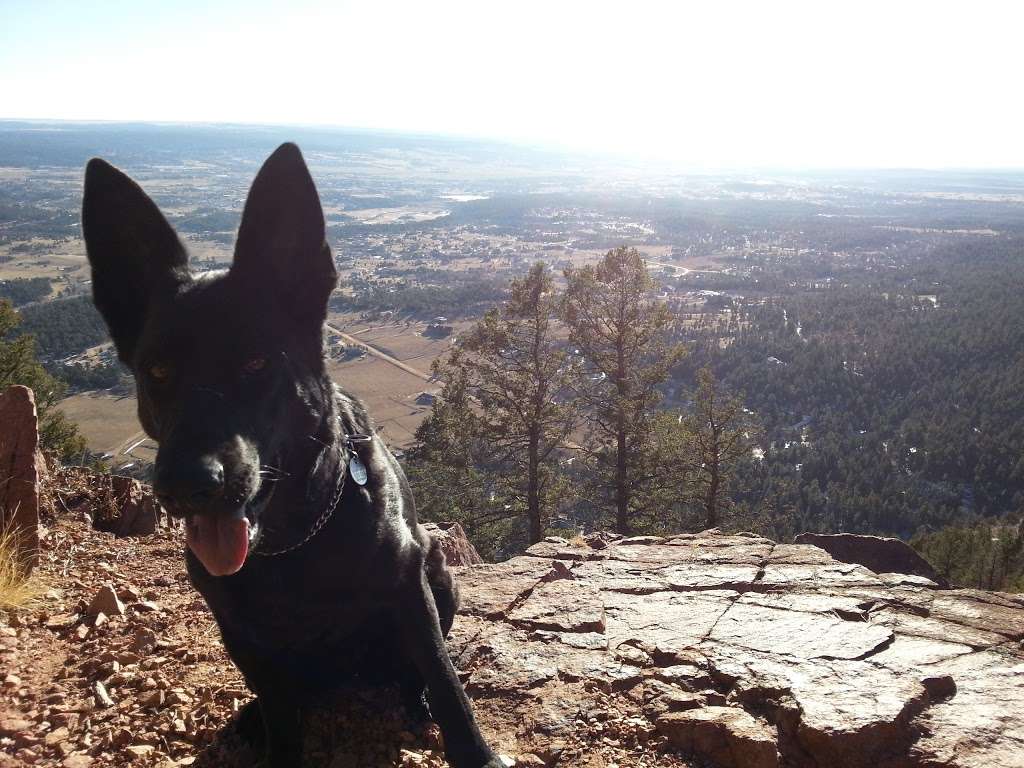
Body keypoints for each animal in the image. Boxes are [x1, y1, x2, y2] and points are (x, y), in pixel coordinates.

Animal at [80, 144, 503, 768]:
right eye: (157, 371)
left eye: (256, 363)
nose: (186, 484)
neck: (294, 539)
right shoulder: (243, 634)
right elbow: (280, 713)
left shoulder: (408, 586)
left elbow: (446, 680)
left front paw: (472, 748)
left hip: (438, 570)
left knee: (412, 672)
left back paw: (411, 701)